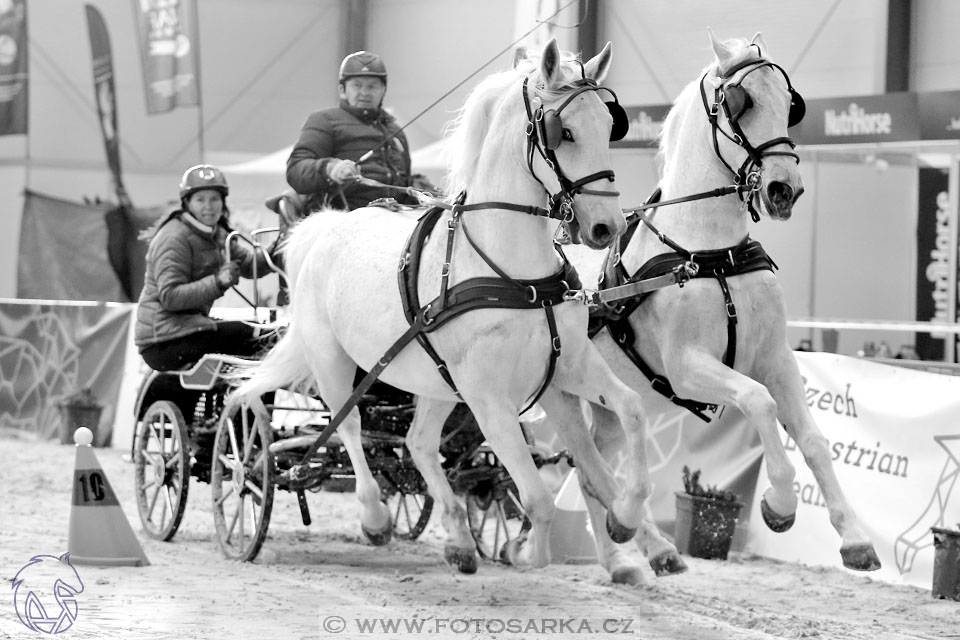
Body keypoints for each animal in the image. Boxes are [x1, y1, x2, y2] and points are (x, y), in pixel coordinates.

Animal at [233, 37, 652, 572]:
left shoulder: (569, 364)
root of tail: (327, 225)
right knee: (349, 427)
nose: (607, 227)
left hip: (436, 381)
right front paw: (525, 551)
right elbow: (537, 499)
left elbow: (632, 411)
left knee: (417, 442)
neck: (517, 275)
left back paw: (457, 539)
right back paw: (374, 518)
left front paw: (626, 517)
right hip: (333, 361)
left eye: (609, 125)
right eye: (565, 133)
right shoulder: (488, 397)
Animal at [564, 31, 884, 584]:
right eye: (742, 102)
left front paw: (856, 539)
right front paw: (780, 503)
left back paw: (634, 554)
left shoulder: (776, 358)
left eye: (790, 103)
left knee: (593, 468)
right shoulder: (690, 368)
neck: (710, 255)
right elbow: (759, 402)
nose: (784, 189)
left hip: (607, 405)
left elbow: (814, 440)